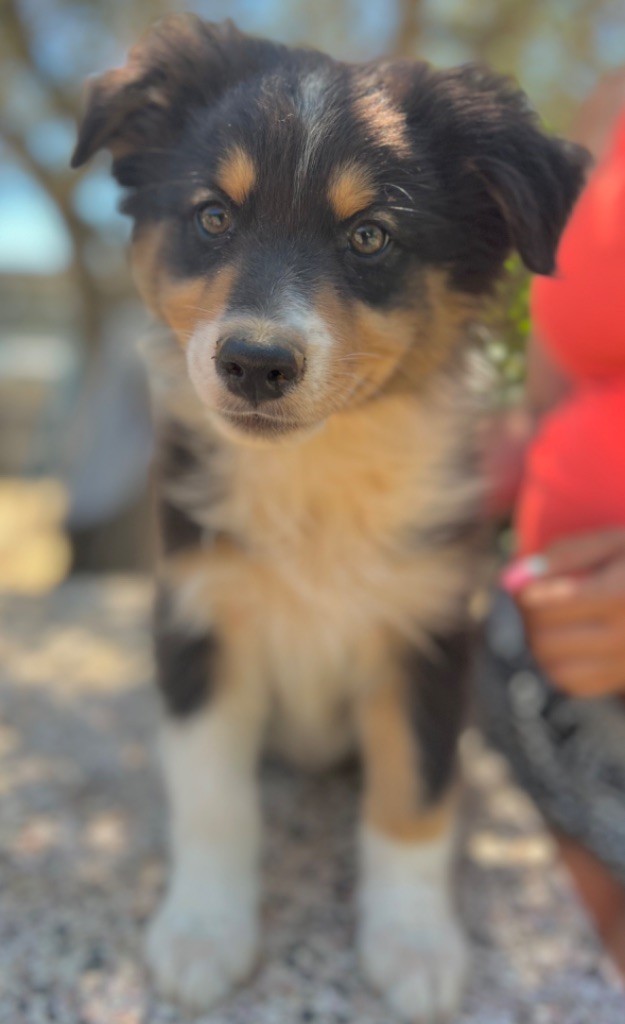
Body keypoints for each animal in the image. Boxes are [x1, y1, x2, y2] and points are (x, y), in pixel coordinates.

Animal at [72, 16, 586, 1021]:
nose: (254, 363)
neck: (316, 469)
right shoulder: (199, 618)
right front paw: (203, 934)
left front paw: (414, 947)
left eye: (370, 235)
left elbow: (413, 799)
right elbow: (212, 798)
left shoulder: (426, 635)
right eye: (214, 216)